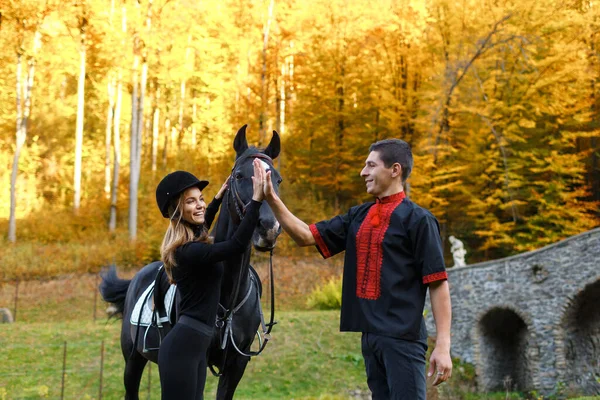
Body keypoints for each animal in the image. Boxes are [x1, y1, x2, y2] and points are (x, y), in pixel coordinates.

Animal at [99, 126, 282, 400]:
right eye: (239, 175)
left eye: (278, 180)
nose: (269, 229)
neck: (228, 300)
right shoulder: (200, 360)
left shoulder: (236, 365)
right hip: (132, 361)